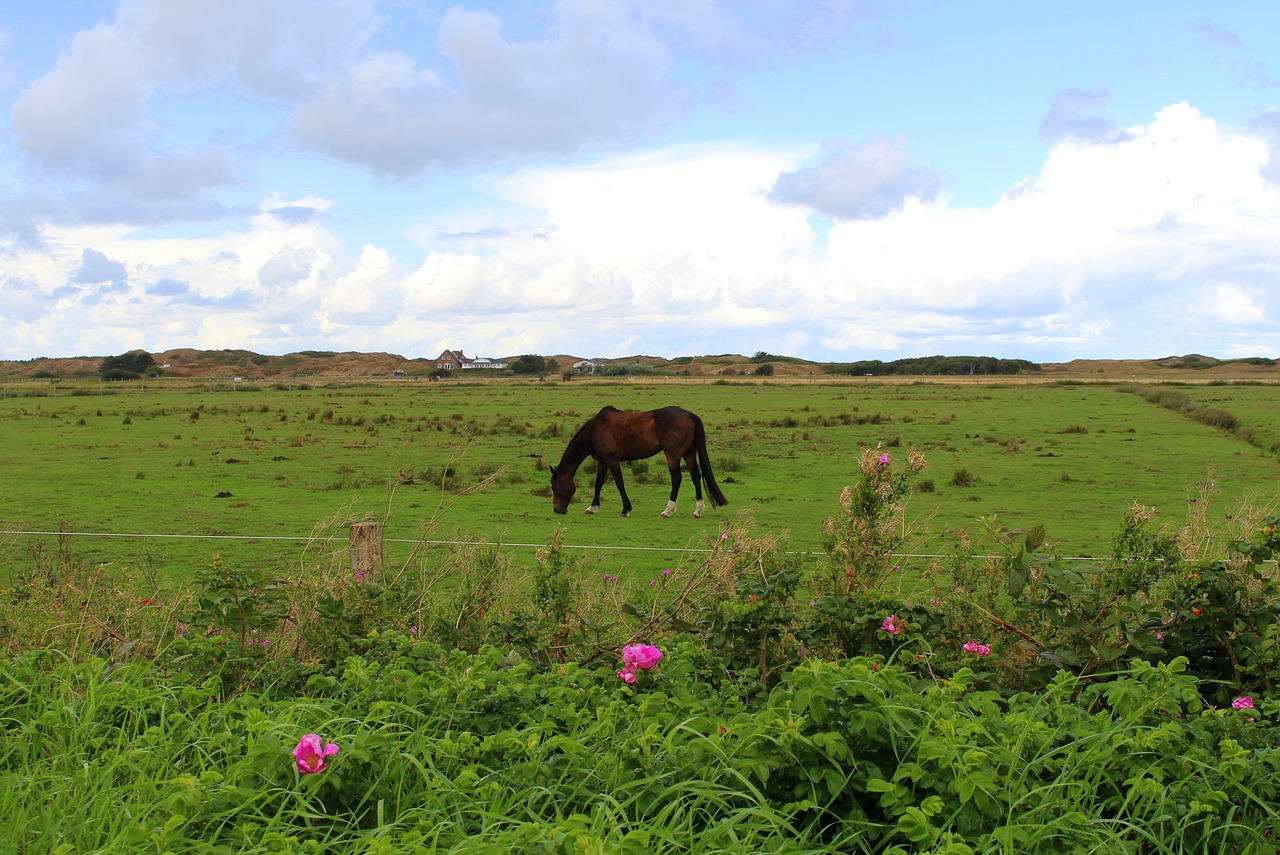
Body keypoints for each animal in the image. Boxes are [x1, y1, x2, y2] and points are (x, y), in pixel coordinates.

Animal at [550, 407, 732, 517]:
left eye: (554, 486)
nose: (557, 510)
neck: (595, 430)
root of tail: (689, 415)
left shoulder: (612, 460)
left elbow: (619, 483)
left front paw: (626, 509)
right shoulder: (602, 461)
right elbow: (598, 483)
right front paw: (593, 507)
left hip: (673, 456)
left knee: (677, 479)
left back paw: (668, 510)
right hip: (688, 453)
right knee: (695, 476)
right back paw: (698, 510)